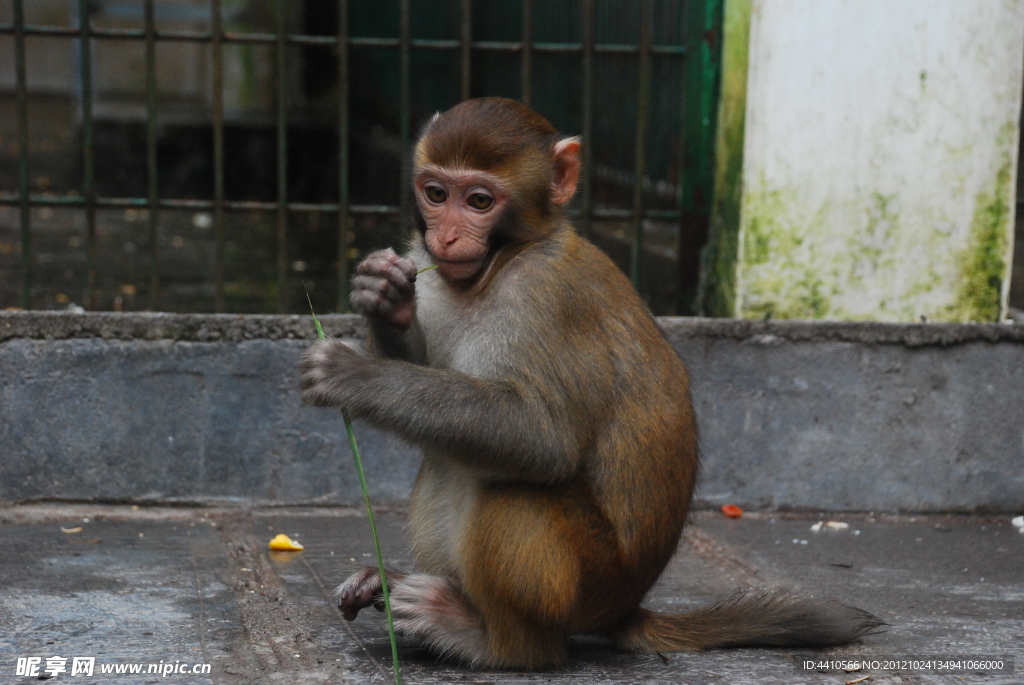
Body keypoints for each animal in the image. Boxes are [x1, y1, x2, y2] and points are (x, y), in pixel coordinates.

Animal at [299, 96, 884, 667]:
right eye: (437, 193)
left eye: (480, 201)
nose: (445, 235)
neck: (505, 259)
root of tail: (625, 607)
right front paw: (384, 295)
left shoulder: (546, 298)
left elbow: (541, 437)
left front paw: (355, 375)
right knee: (447, 455)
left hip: (587, 584)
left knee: (514, 490)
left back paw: (492, 640)